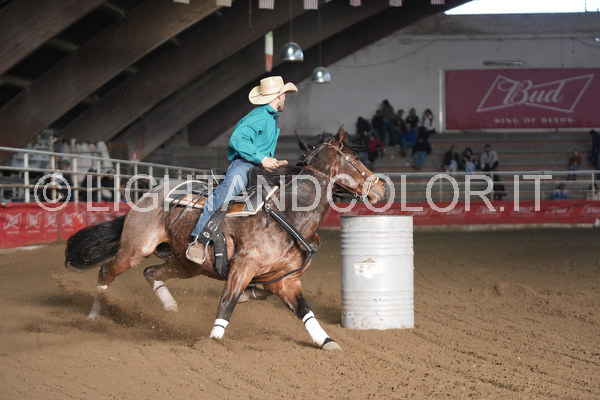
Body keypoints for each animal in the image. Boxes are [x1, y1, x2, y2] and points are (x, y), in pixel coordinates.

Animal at [65, 126, 386, 350]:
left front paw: (326, 341)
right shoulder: (243, 267)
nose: (380, 189)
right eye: (355, 159)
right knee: (106, 271)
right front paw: (213, 342)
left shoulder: (286, 280)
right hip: (135, 249)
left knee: (151, 272)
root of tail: (145, 196)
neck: (287, 213)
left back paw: (170, 308)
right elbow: (227, 304)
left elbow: (305, 311)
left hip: (183, 264)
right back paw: (94, 316)